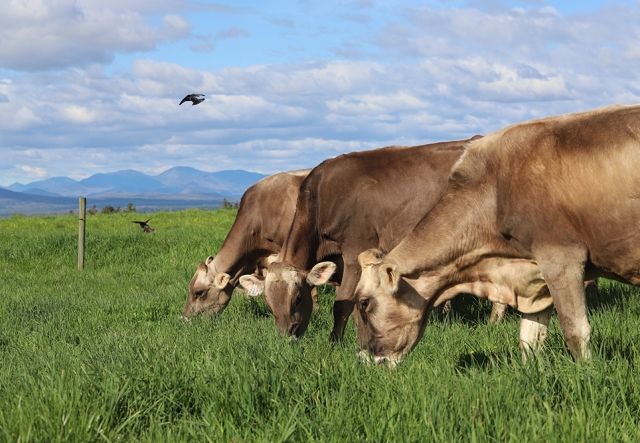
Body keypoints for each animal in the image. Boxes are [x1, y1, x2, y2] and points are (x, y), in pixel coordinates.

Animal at [239, 137, 515, 340]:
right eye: (268, 302)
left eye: (297, 298)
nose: (287, 336)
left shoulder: (354, 252)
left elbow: (342, 304)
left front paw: (335, 342)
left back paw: (495, 322)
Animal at [354, 103, 638, 365]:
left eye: (364, 302)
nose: (364, 358)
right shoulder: (534, 277)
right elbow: (529, 339)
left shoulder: (562, 260)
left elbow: (575, 332)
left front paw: (586, 372)